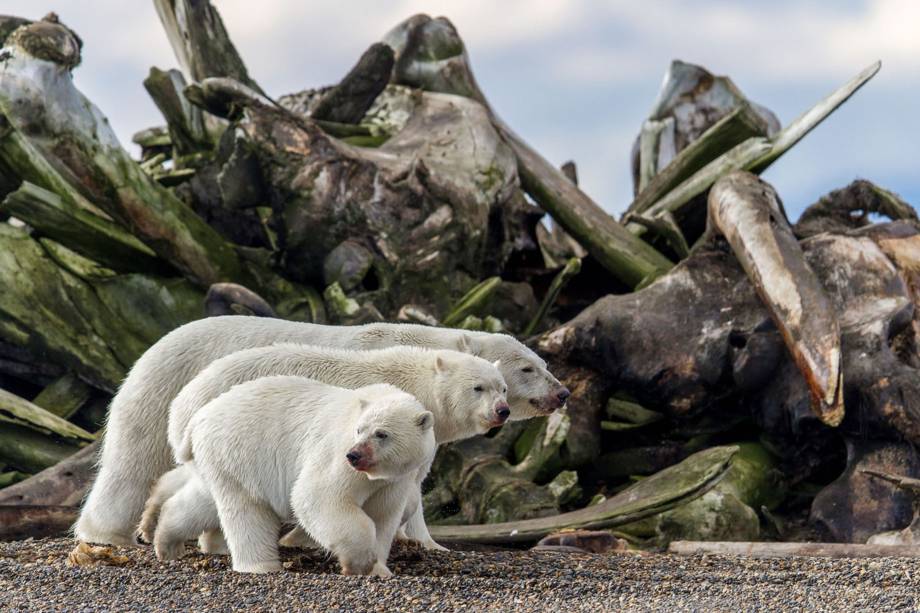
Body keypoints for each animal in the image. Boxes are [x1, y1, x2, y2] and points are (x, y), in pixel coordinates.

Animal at [159, 376, 438, 576]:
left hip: (222, 461)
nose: (354, 455)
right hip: (240, 450)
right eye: (360, 430)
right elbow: (317, 496)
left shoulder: (393, 480)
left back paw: (166, 540)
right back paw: (261, 566)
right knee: (248, 510)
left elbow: (382, 516)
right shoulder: (336, 454)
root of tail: (199, 416)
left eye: (381, 434)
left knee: (205, 500)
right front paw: (359, 563)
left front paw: (379, 569)